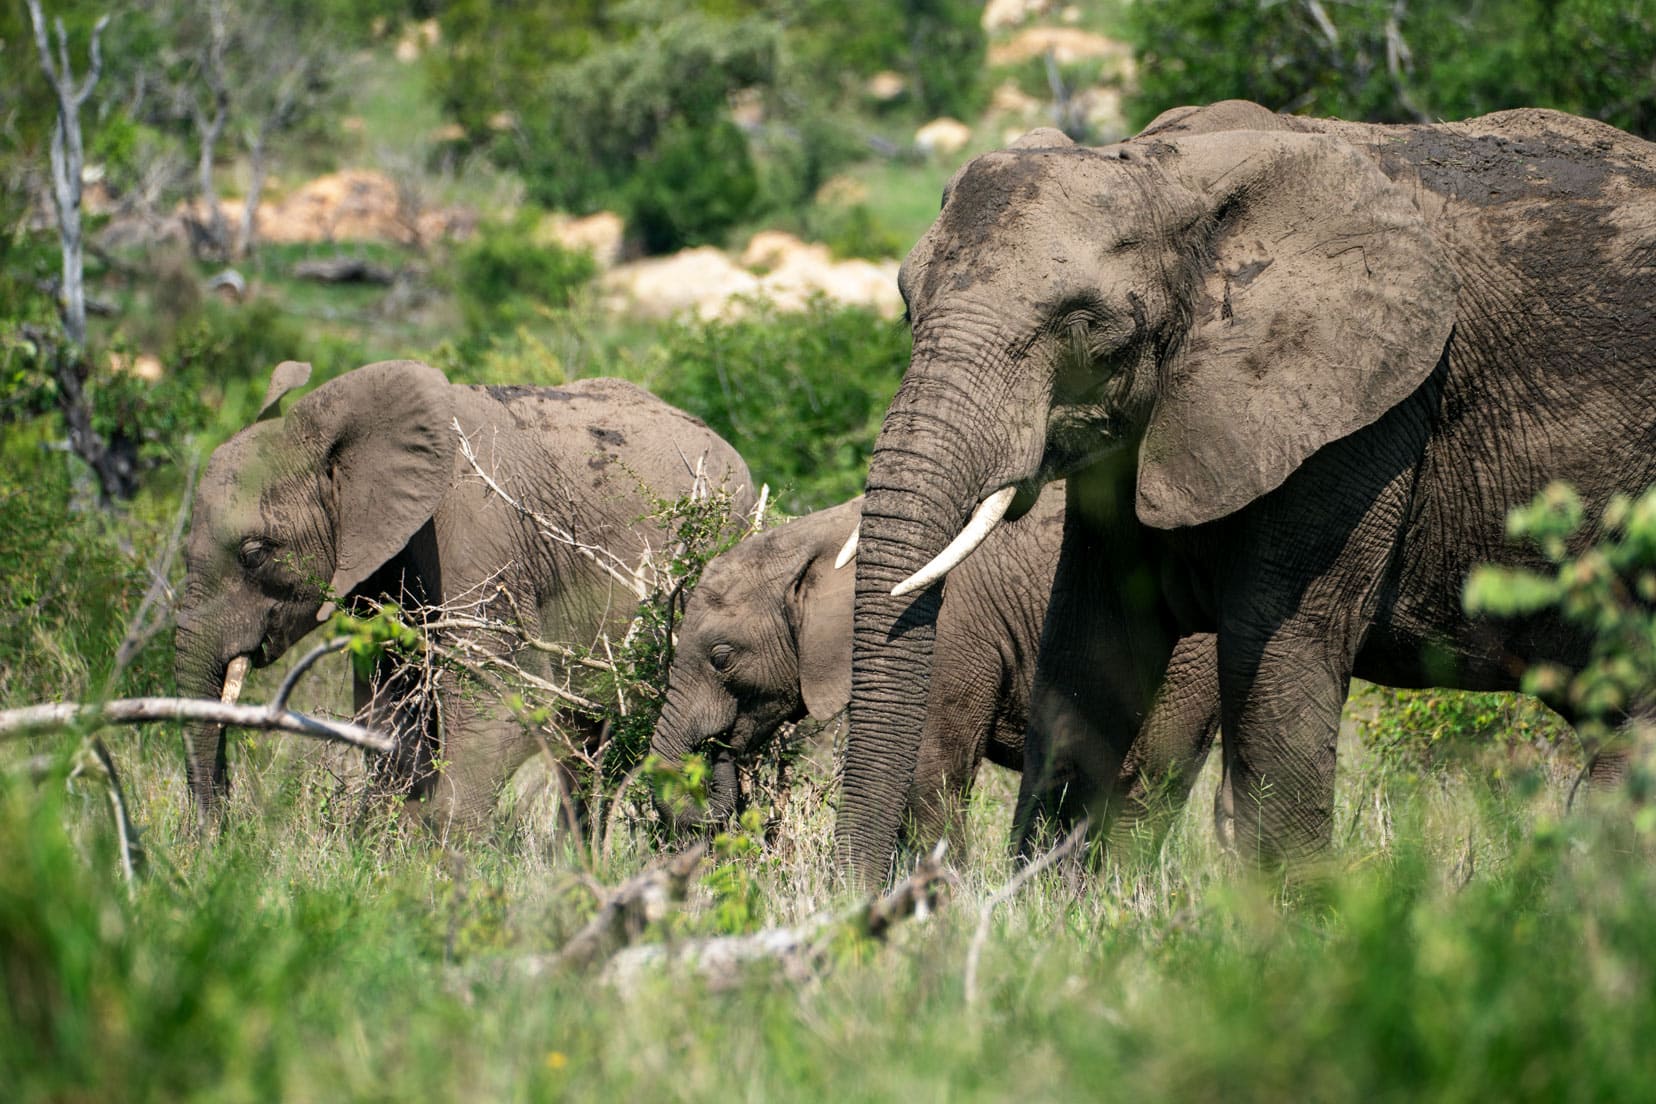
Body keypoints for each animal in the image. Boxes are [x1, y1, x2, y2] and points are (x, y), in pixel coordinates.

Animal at [847, 103, 1649, 880]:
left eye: (1084, 327)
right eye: (907, 304)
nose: (855, 894)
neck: (1169, 175)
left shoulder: (1365, 415)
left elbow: (1280, 651)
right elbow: (1093, 649)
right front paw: (1039, 907)